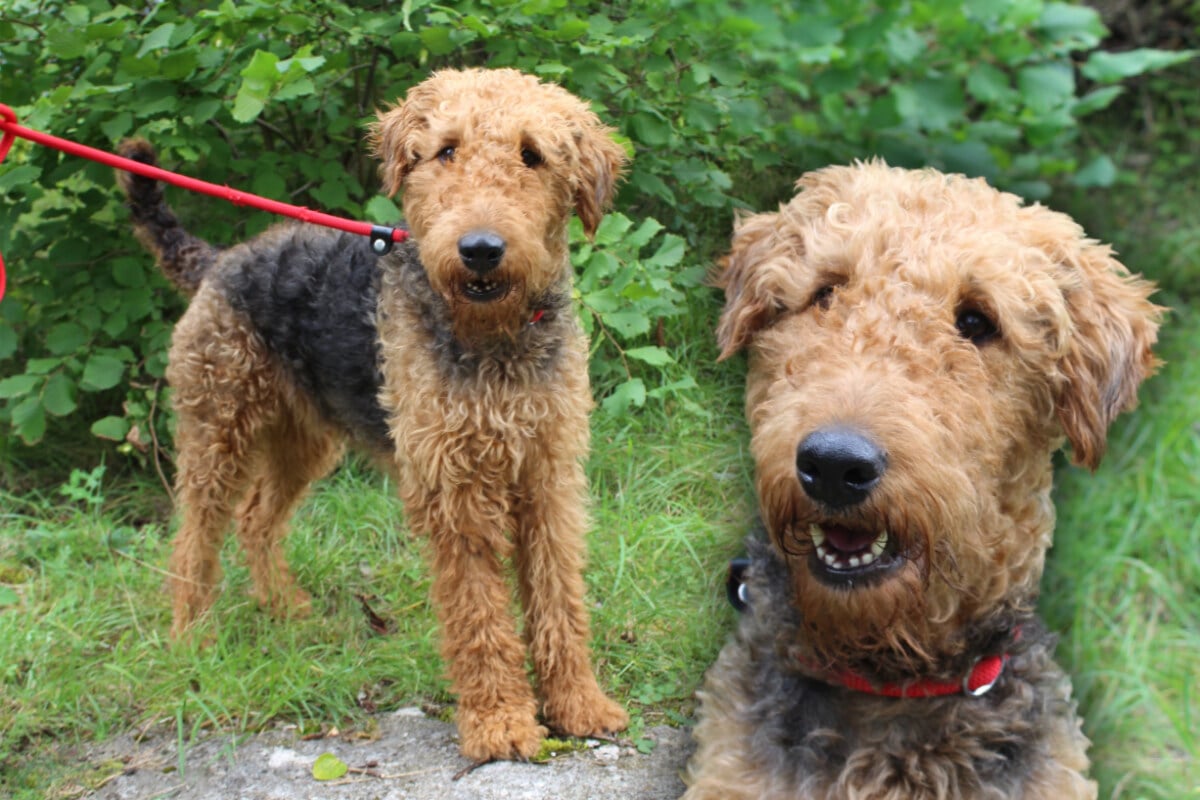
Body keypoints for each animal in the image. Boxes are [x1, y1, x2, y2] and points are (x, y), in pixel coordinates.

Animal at [117, 68, 633, 762]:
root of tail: (220, 259)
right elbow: (479, 613)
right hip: (218, 432)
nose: (480, 249)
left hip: (303, 440)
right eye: (446, 150)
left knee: (256, 520)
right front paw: (500, 723)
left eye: (533, 155)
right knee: (194, 541)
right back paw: (191, 636)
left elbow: (558, 598)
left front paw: (579, 704)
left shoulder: (548, 475)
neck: (493, 342)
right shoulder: (455, 489)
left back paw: (286, 608)